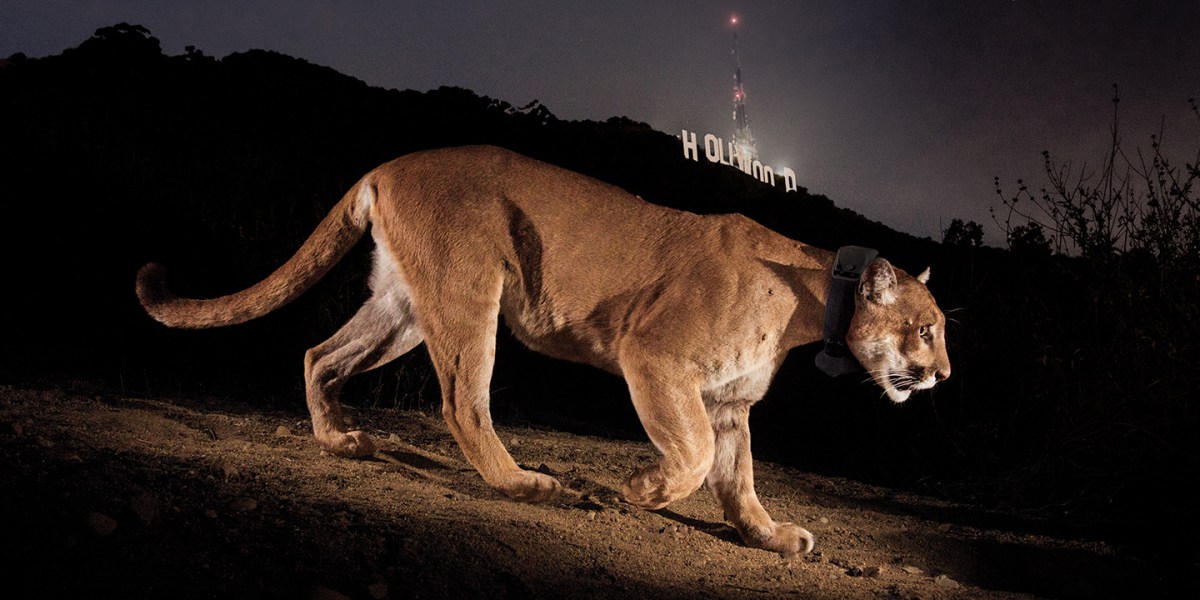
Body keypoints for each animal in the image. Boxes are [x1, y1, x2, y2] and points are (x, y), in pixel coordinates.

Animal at [136, 145, 950, 555]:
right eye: (927, 328)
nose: (942, 373)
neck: (813, 300)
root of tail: (389, 164)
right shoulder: (655, 358)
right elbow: (690, 459)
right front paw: (640, 489)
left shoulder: (729, 401)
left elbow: (738, 479)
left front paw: (772, 535)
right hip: (470, 290)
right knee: (462, 401)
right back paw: (528, 485)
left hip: (403, 307)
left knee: (319, 355)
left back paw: (341, 440)